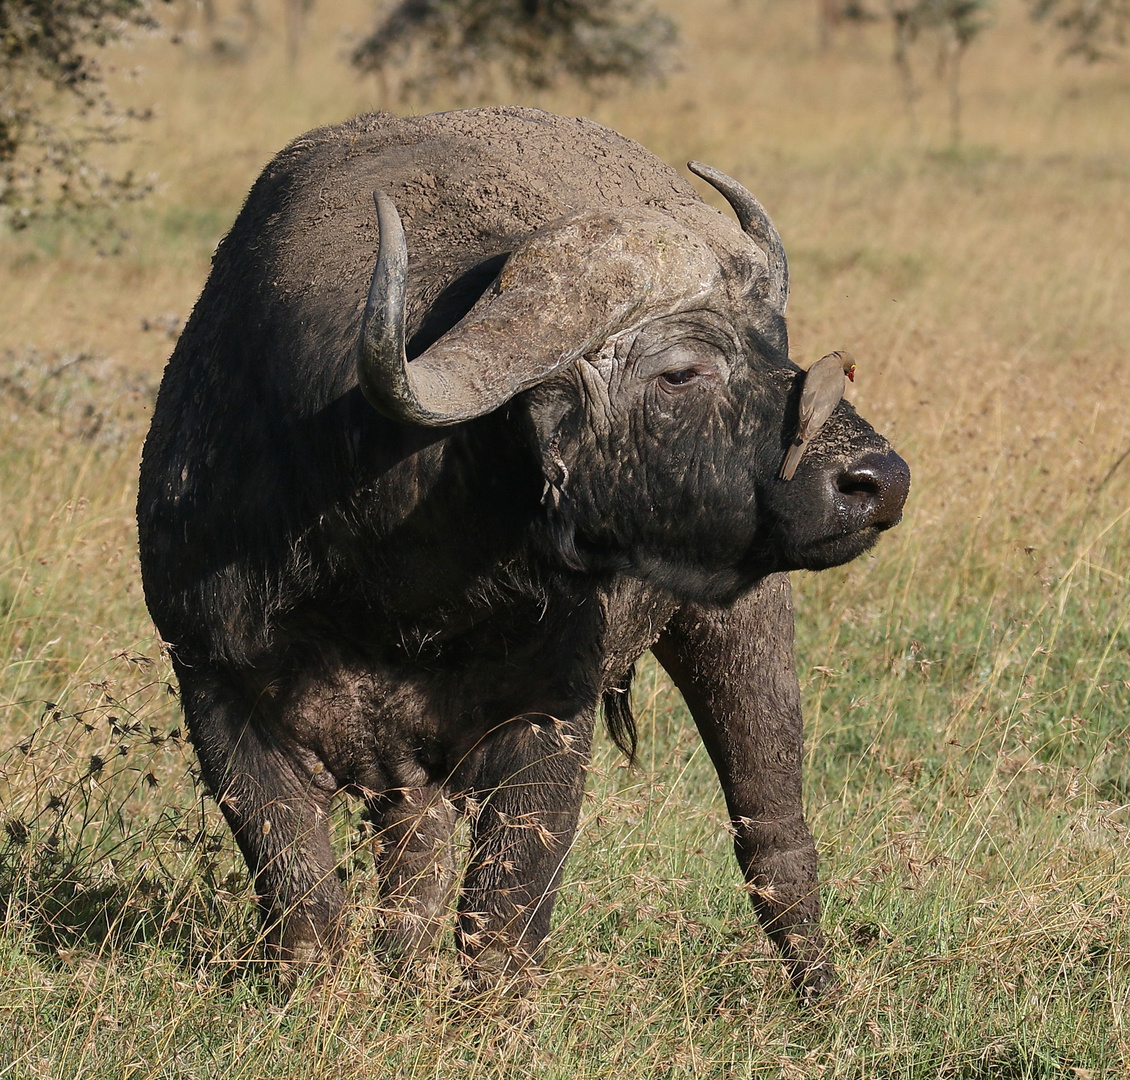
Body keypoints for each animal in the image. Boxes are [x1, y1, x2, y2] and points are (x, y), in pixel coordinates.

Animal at [136, 107, 908, 994]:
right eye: (680, 372)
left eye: (773, 345)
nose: (879, 479)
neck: (393, 590)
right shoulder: (214, 688)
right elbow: (304, 903)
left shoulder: (552, 712)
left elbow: (504, 911)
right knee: (416, 864)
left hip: (744, 621)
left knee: (772, 828)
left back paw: (820, 990)